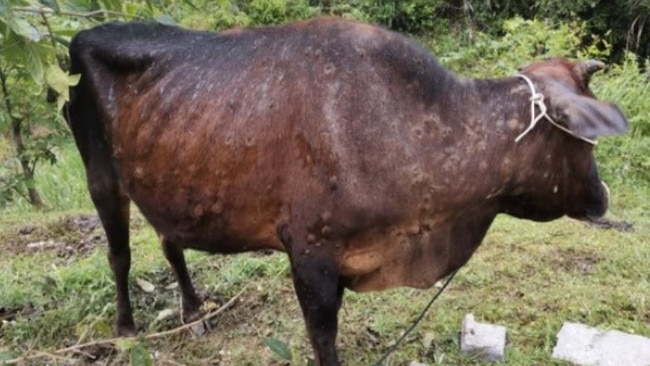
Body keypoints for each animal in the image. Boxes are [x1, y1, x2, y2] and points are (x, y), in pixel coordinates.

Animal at [63, 16, 624, 366]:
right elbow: (323, 342)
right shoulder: (311, 257)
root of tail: (83, 33)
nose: (602, 194)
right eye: (586, 136)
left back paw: (195, 312)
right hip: (100, 175)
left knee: (169, 241)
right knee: (119, 254)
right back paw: (127, 328)